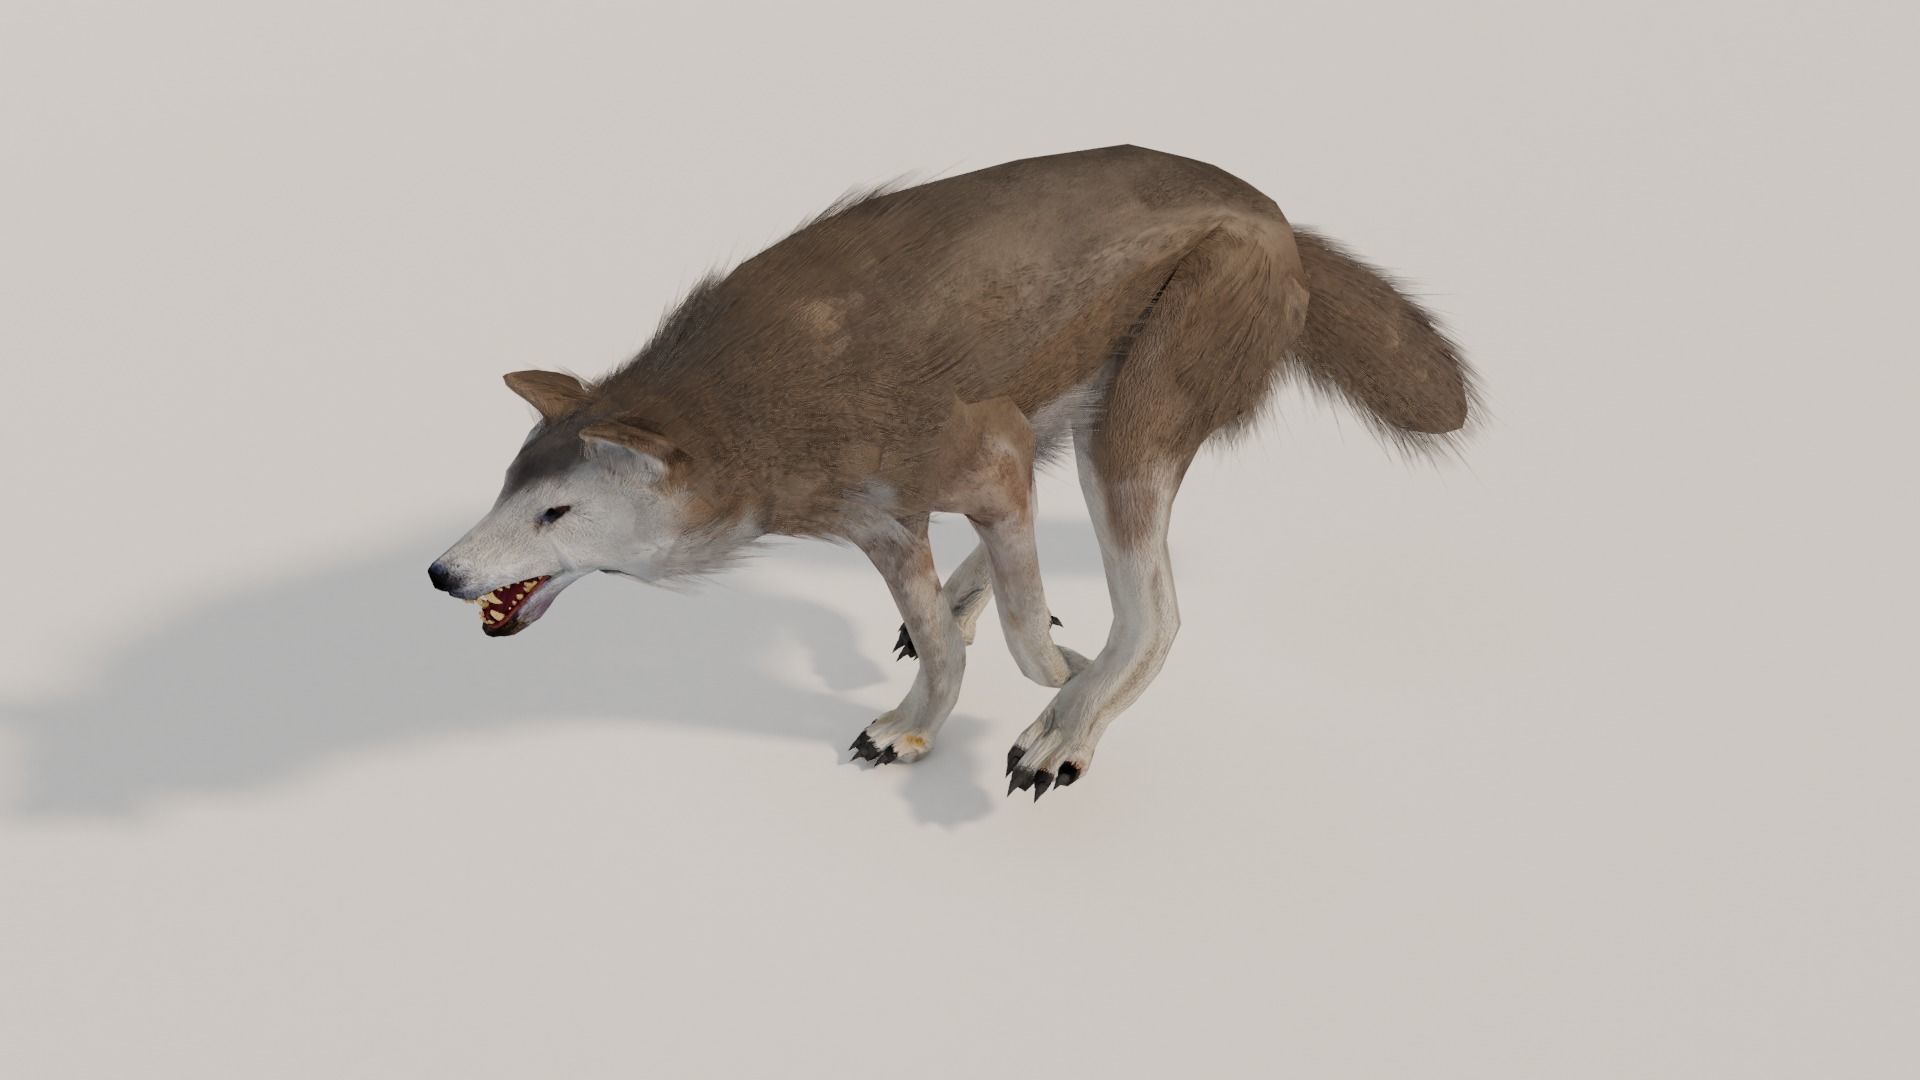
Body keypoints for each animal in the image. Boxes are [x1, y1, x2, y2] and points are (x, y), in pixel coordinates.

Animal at [429, 145, 1475, 799]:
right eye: (507, 490)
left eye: (556, 513)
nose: (441, 572)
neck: (754, 407)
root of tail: (1277, 213)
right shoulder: (886, 521)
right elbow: (943, 641)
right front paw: (913, 720)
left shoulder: (990, 464)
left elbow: (1024, 639)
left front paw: (1057, 689)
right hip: (1069, 406)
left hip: (1124, 433)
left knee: (1157, 616)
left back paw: (1069, 726)